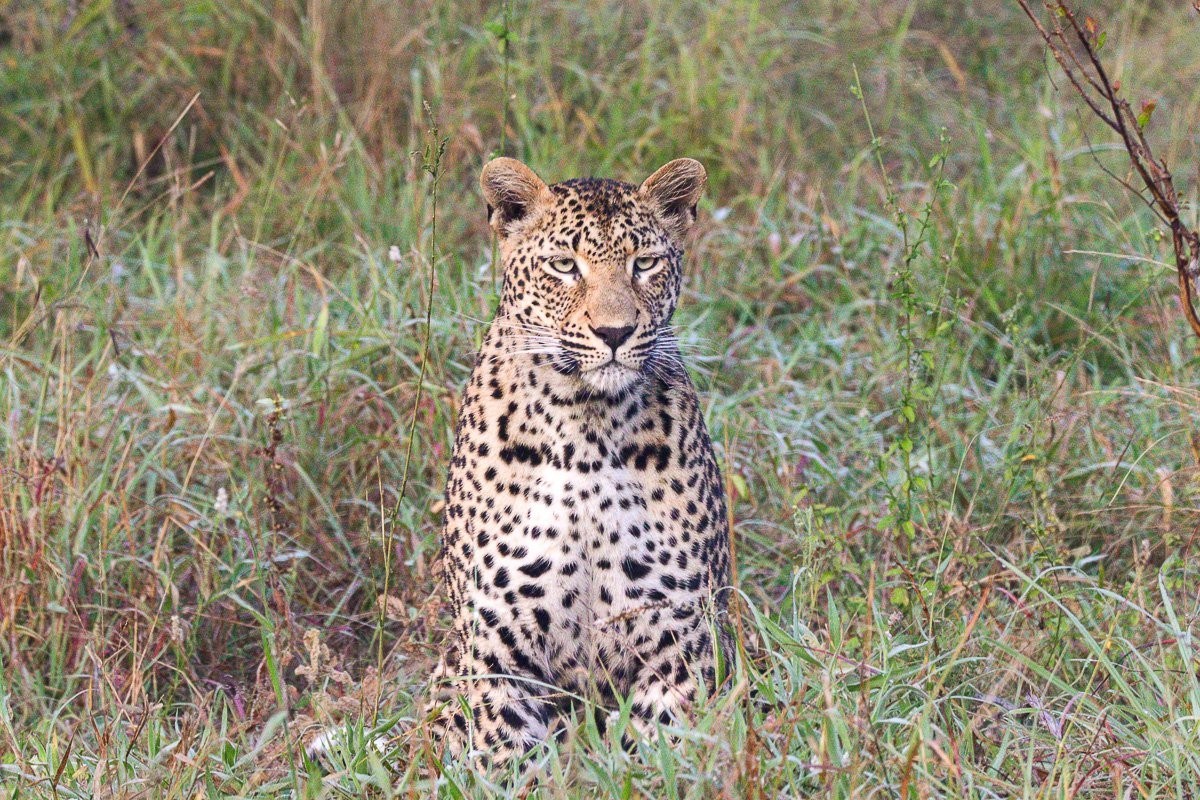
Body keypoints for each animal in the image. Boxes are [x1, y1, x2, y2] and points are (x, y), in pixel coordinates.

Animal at [430, 156, 732, 770]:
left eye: (645, 263)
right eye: (565, 266)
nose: (614, 332)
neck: (586, 433)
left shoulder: (680, 644)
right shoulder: (500, 656)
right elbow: (509, 765)